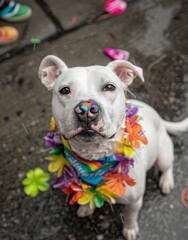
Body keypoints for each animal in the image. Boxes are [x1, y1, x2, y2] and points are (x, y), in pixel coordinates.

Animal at [38, 55, 188, 240]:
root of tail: (158, 117)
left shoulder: (135, 201)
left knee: (168, 166)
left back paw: (166, 181)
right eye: (65, 90)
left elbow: (130, 215)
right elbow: (87, 196)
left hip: (163, 155)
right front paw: (86, 207)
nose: (86, 109)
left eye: (109, 87)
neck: (94, 158)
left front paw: (130, 229)